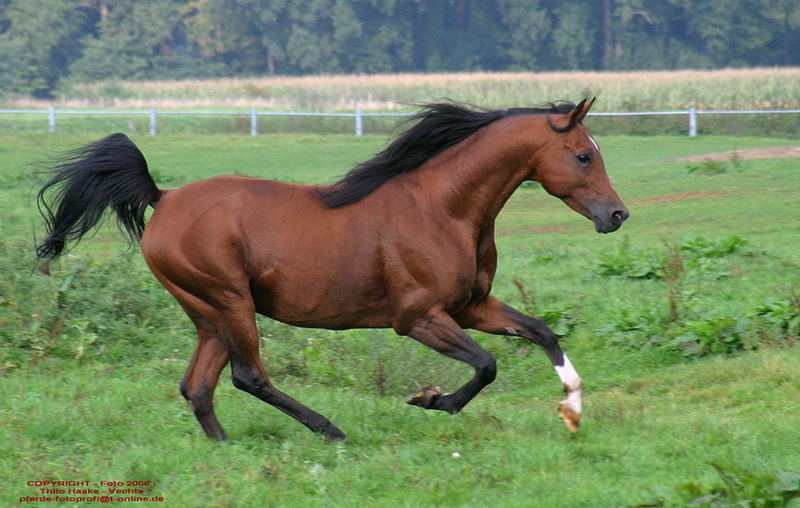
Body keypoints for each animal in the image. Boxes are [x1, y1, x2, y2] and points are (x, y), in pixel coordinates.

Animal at [34, 99, 628, 440]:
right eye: (583, 155)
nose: (617, 215)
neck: (443, 208)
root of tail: (165, 198)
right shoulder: (418, 317)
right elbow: (486, 365)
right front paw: (432, 400)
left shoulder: (472, 306)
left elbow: (542, 333)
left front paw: (573, 409)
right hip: (229, 301)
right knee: (248, 376)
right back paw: (330, 430)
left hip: (209, 313)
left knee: (198, 386)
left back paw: (226, 447)